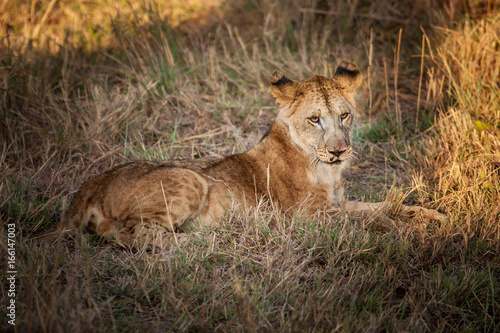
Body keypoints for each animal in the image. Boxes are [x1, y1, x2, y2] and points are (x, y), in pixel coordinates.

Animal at [46, 61, 446, 246]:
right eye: (314, 119)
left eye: (344, 115)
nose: (339, 151)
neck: (326, 169)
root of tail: (91, 184)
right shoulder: (308, 217)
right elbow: (371, 220)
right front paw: (408, 233)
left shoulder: (338, 203)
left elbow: (383, 207)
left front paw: (434, 217)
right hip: (190, 179)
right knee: (133, 235)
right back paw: (204, 241)